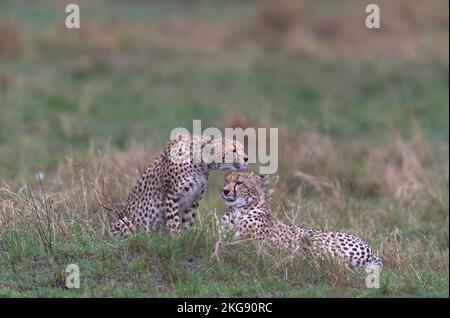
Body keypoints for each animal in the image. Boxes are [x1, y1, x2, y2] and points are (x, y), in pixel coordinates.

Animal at [110, 134, 248, 236]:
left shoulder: (194, 198)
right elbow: (174, 220)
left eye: (242, 148)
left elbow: (188, 220)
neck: (201, 162)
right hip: (124, 221)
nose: (246, 158)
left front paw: (186, 236)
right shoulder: (172, 195)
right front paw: (176, 237)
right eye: (234, 150)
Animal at [220, 170, 382, 270]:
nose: (225, 191)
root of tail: (368, 247)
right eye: (226, 180)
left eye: (239, 182)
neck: (238, 210)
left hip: (313, 240)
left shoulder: (251, 243)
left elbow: (233, 243)